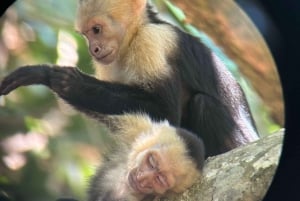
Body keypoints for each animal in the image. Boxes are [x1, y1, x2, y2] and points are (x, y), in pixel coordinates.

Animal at [0, 0, 258, 157]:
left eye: (97, 30)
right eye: (85, 35)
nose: (93, 49)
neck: (133, 37)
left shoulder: (151, 40)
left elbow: (163, 110)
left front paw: (58, 78)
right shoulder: (107, 64)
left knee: (203, 104)